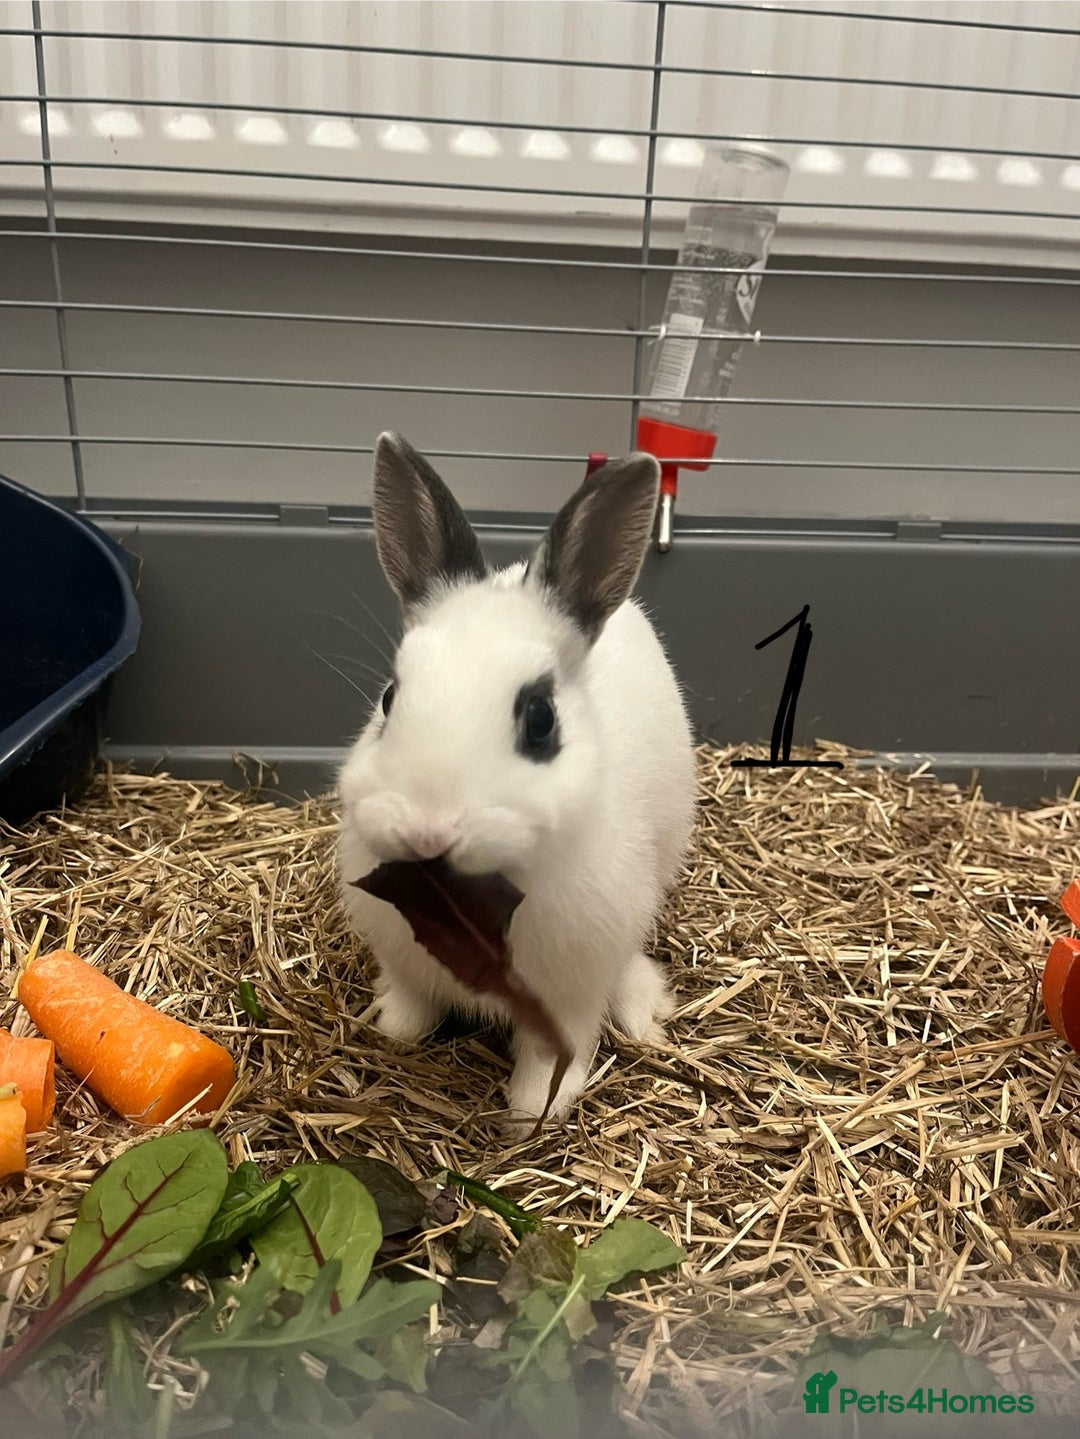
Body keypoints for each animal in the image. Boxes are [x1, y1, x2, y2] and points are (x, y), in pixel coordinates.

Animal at [337, 432, 696, 1133]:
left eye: (540, 719)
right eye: (389, 699)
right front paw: (390, 1030)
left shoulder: (572, 991)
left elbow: (555, 1054)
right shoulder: (405, 959)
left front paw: (533, 1115)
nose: (428, 831)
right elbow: (413, 1011)